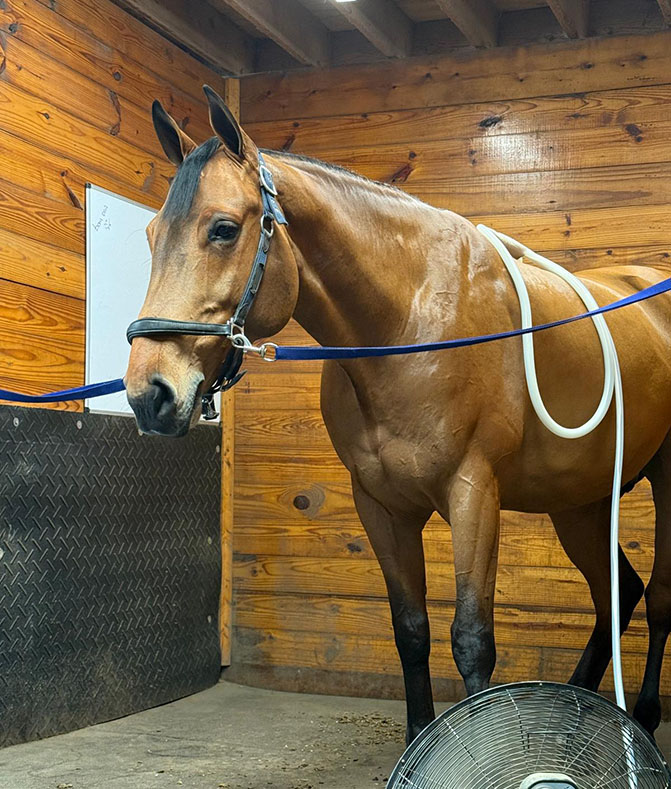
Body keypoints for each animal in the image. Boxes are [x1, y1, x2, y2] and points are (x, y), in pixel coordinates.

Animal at [125, 85, 671, 745]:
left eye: (224, 229)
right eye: (151, 234)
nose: (149, 393)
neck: (408, 323)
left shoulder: (473, 493)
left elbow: (472, 641)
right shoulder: (381, 506)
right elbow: (411, 633)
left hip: (662, 484)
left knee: (660, 599)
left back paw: (642, 719)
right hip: (580, 501)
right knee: (618, 592)